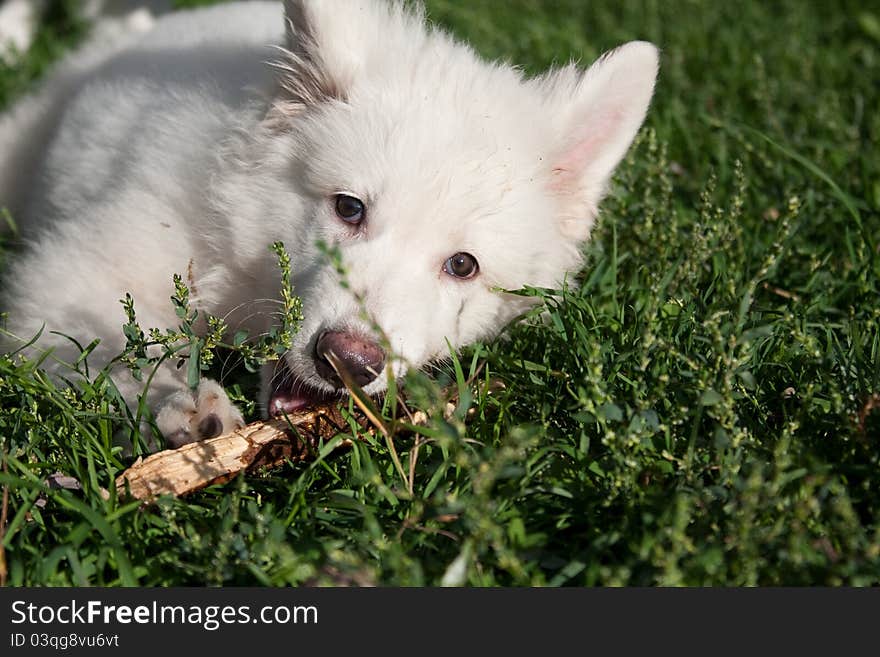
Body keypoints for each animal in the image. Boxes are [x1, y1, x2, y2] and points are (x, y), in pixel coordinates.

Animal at [0, 0, 656, 446]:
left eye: (462, 265)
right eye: (349, 208)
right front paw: (181, 401)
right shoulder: (79, 271)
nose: (348, 361)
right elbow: (119, 342)